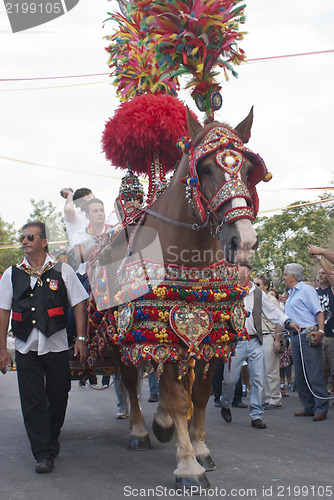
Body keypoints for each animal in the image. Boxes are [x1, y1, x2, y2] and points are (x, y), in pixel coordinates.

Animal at [83, 0, 272, 492]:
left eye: (247, 168)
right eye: (205, 168)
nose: (243, 240)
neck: (191, 259)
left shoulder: (212, 333)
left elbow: (200, 394)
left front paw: (200, 448)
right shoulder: (165, 330)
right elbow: (174, 394)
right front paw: (187, 464)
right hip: (121, 334)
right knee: (130, 380)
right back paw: (138, 429)